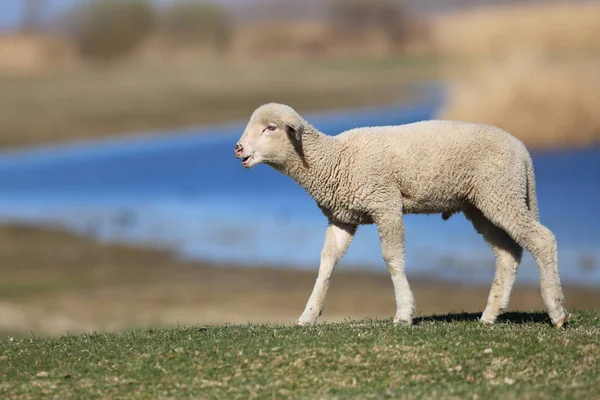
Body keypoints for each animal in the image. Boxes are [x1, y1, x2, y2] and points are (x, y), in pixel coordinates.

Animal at [234, 102, 568, 328]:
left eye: (270, 128)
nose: (238, 149)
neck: (335, 159)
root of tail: (522, 150)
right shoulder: (342, 218)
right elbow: (327, 262)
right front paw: (309, 315)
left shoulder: (386, 203)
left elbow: (392, 257)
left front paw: (404, 312)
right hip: (482, 203)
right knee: (508, 254)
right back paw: (490, 314)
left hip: (501, 191)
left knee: (542, 239)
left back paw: (556, 312)